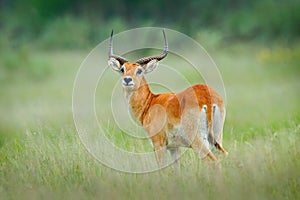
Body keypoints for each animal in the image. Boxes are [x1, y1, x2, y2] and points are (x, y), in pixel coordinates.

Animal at [108, 29, 227, 167]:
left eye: (139, 70)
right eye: (123, 69)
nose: (127, 80)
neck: (150, 102)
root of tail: (206, 97)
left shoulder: (158, 144)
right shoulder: (175, 148)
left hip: (198, 141)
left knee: (213, 162)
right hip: (217, 138)